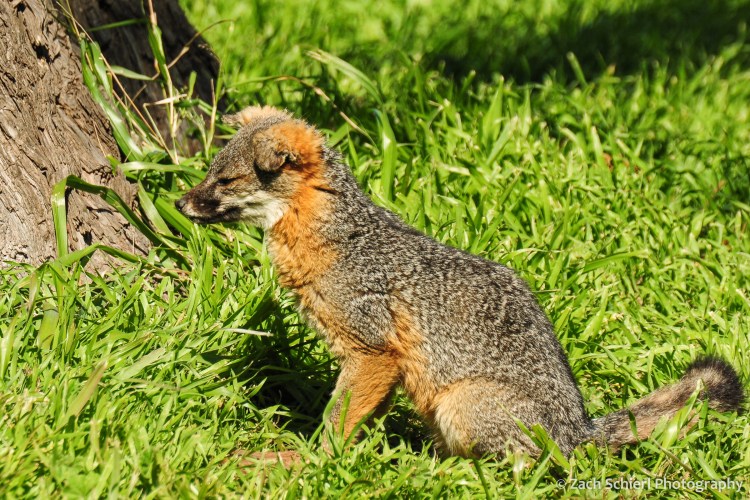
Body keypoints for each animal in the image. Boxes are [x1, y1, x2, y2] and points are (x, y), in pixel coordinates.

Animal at [176, 105, 744, 458]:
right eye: (208, 172)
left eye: (224, 180)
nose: (180, 203)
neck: (337, 238)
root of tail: (577, 430)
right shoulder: (387, 365)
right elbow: (362, 416)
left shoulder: (372, 350)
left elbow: (338, 419)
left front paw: (317, 462)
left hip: (458, 403)